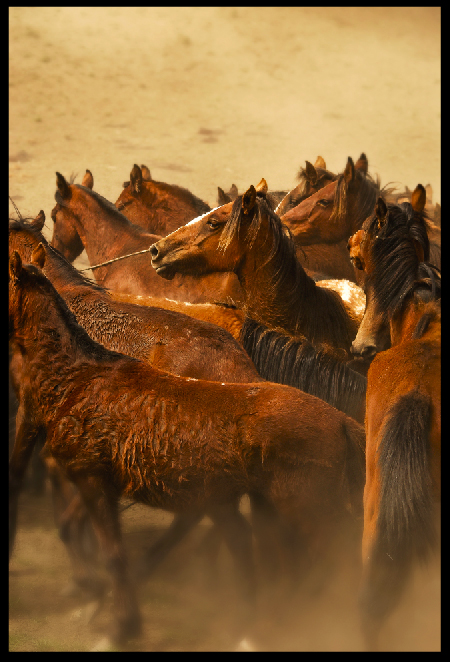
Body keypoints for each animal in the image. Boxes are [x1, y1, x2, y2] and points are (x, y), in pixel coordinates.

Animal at [7, 246, 366, 652]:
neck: (80, 376)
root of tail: (342, 421)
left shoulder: (92, 479)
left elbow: (113, 554)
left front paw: (118, 626)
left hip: (307, 508)